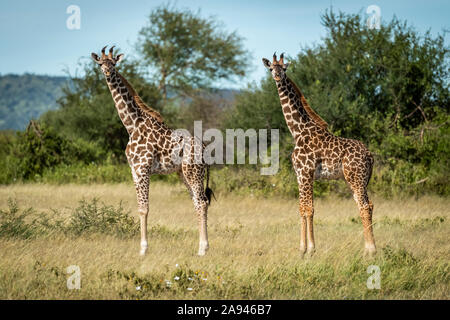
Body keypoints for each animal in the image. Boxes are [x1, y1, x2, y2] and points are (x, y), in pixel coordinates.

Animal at [91, 46, 214, 256]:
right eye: (100, 64)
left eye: (113, 64)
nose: (107, 73)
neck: (131, 125)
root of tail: (204, 149)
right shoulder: (133, 170)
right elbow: (140, 207)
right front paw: (141, 248)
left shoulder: (143, 169)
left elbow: (144, 208)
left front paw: (143, 249)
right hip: (183, 174)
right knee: (197, 202)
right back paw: (201, 247)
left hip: (194, 173)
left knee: (201, 202)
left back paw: (203, 250)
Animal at [262, 53, 374, 258]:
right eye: (271, 68)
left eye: (284, 68)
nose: (277, 77)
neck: (297, 130)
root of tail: (370, 156)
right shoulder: (299, 174)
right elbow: (301, 208)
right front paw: (302, 248)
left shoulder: (306, 172)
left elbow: (309, 209)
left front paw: (310, 249)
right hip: (356, 180)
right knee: (366, 205)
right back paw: (367, 248)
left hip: (356, 178)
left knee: (364, 206)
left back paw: (371, 250)